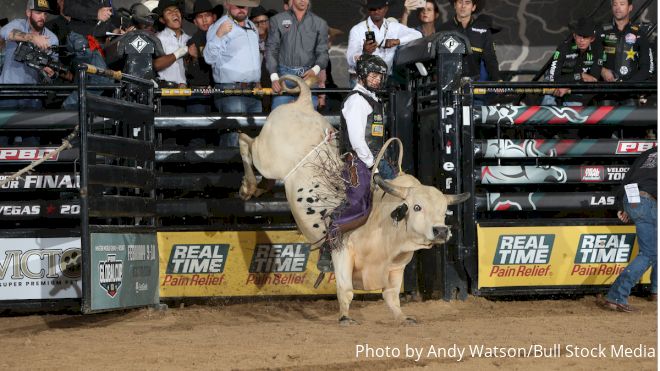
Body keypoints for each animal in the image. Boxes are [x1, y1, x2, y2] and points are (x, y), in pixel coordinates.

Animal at [237, 76, 470, 326]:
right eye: (417, 207)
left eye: (444, 209)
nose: (441, 231)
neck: (383, 222)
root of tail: (303, 103)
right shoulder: (342, 250)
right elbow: (346, 289)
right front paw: (346, 317)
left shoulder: (397, 265)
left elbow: (391, 295)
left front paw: (403, 317)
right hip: (266, 157)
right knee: (245, 141)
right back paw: (247, 186)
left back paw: (261, 186)